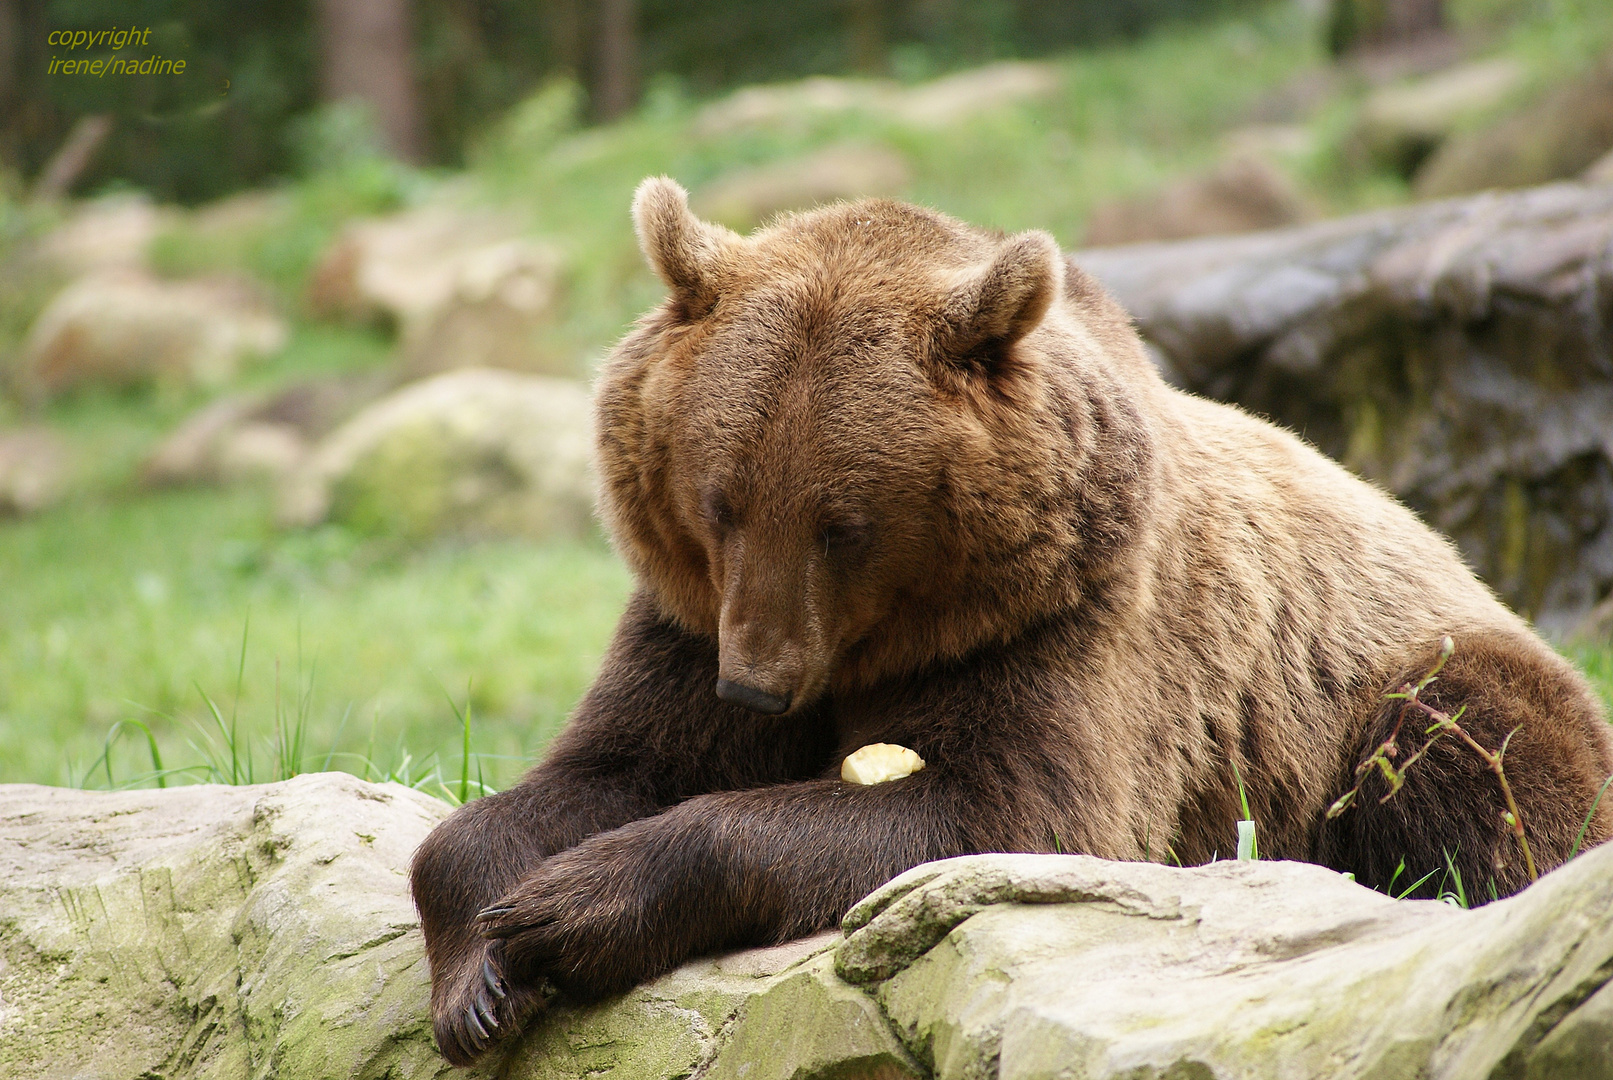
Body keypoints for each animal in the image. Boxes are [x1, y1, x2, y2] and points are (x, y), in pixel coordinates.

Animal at [406, 179, 1613, 1063]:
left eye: (842, 523)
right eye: (719, 501)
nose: (757, 683)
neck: (890, 634)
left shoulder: (1060, 631)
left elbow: (996, 811)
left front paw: (567, 910)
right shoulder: (684, 619)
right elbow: (607, 766)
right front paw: (481, 970)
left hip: (1402, 682)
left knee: (1470, 759)